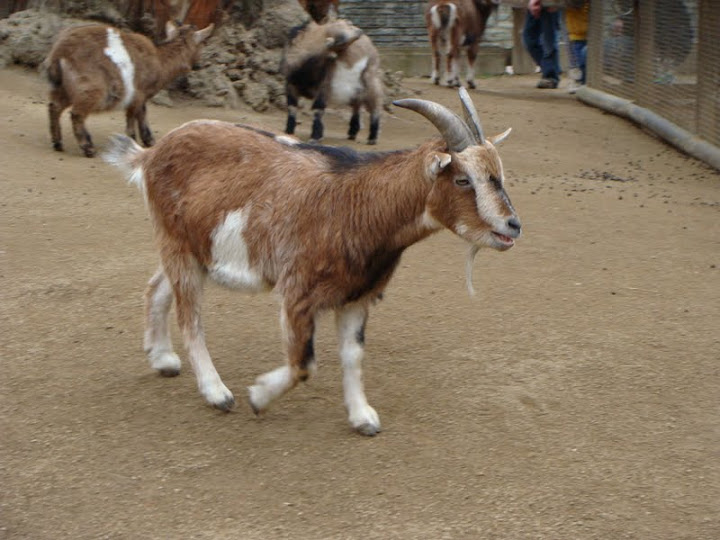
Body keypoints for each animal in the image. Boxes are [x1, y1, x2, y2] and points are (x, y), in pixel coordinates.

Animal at [44, 21, 213, 157]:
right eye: (203, 43)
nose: (201, 64)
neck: (160, 60)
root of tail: (60, 52)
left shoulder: (141, 96)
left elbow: (142, 113)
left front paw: (149, 140)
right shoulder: (137, 93)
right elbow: (133, 116)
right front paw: (133, 140)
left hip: (63, 88)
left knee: (54, 107)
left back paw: (57, 143)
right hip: (91, 88)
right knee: (77, 114)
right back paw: (88, 148)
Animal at [103, 88, 521, 436]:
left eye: (498, 173)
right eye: (463, 180)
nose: (512, 225)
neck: (360, 203)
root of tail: (150, 154)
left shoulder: (358, 295)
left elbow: (352, 355)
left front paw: (363, 417)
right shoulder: (298, 292)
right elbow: (303, 362)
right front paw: (258, 396)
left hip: (191, 248)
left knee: (157, 288)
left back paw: (163, 359)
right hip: (178, 245)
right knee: (190, 316)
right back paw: (216, 392)